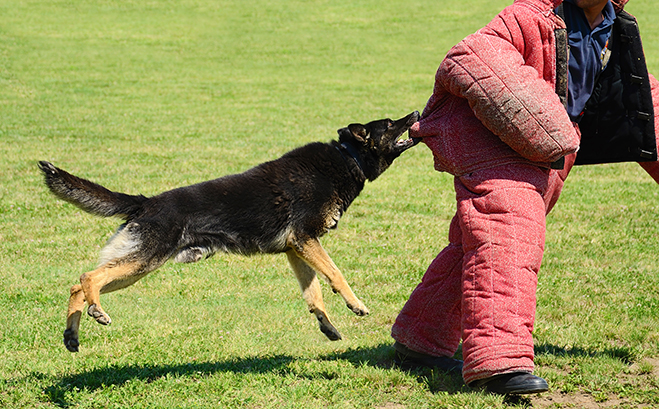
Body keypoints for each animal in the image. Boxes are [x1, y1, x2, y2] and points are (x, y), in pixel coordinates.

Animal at [38, 111, 420, 350]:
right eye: (390, 122)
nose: (416, 111)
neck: (347, 157)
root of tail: (145, 202)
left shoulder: (296, 249)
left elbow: (313, 293)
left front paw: (326, 324)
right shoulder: (306, 240)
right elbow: (336, 275)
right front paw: (356, 305)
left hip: (135, 270)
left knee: (77, 285)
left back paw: (72, 336)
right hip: (143, 261)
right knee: (88, 277)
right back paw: (96, 311)